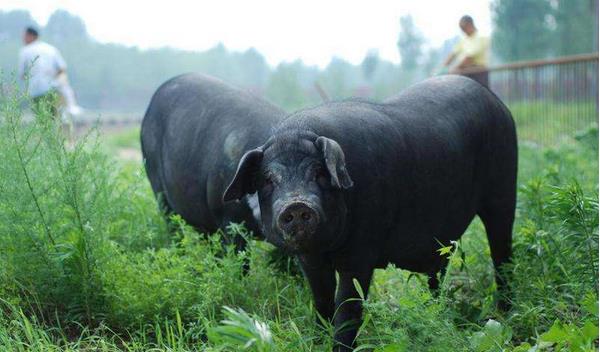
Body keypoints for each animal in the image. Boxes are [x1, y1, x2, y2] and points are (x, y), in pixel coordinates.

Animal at [223, 75, 516, 350]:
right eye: (268, 180)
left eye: (319, 173)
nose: (296, 204)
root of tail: (496, 101)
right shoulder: (310, 260)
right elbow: (321, 301)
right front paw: (317, 341)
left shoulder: (363, 249)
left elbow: (348, 308)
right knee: (440, 272)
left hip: (503, 189)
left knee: (502, 254)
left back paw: (504, 313)